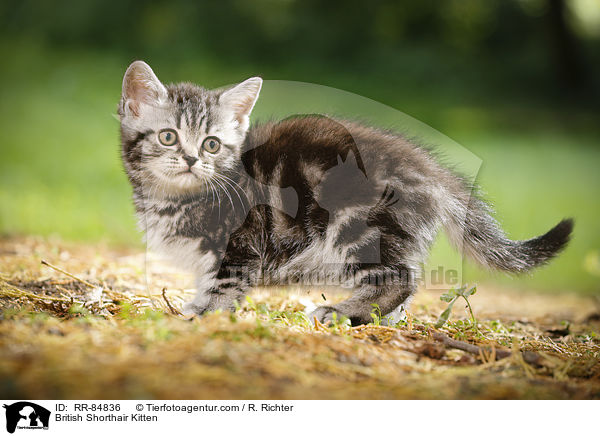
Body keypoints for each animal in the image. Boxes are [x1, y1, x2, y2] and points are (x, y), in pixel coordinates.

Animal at [117, 62, 572, 328]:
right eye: (168, 136)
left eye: (212, 144)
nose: (192, 159)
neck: (175, 198)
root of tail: (432, 172)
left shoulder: (241, 242)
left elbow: (224, 283)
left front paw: (203, 313)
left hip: (356, 224)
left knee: (398, 279)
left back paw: (340, 312)